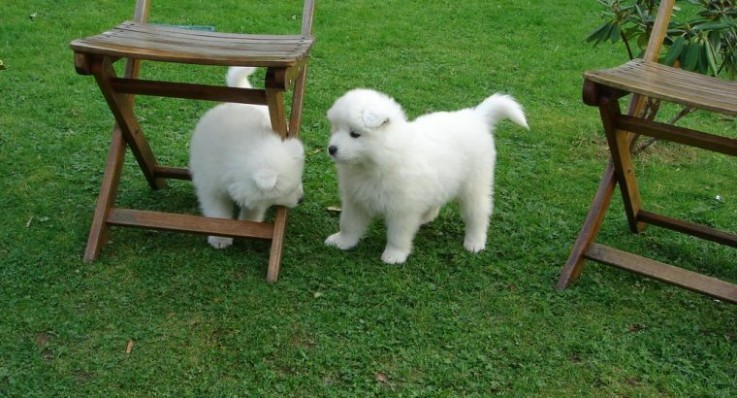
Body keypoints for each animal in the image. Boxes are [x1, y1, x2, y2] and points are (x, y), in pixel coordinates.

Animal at [191, 68, 306, 249]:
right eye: (287, 191)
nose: (301, 199)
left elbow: (253, 209)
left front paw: (248, 227)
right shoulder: (211, 186)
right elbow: (218, 212)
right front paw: (220, 238)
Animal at [324, 89, 528, 264]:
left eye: (354, 134)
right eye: (335, 128)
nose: (331, 149)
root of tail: (476, 117)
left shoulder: (402, 209)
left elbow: (397, 235)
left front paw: (394, 255)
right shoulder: (355, 199)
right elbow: (348, 224)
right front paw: (341, 242)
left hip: (474, 185)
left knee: (478, 213)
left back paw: (475, 242)